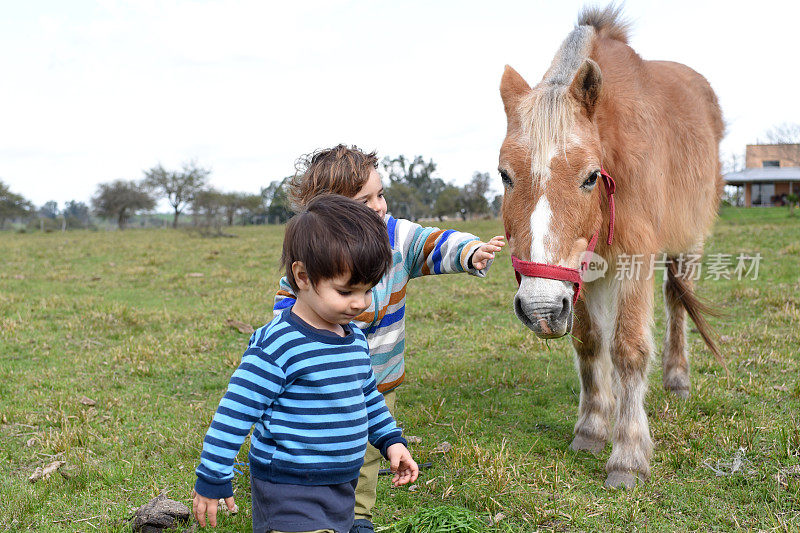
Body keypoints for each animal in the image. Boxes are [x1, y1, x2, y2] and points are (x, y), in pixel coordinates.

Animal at [496, 5, 720, 486]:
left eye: (590, 177)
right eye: (505, 175)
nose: (540, 308)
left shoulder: (636, 259)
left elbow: (629, 349)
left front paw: (628, 455)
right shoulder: (581, 273)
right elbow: (589, 343)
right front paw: (593, 427)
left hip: (688, 243)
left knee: (677, 301)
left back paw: (677, 379)